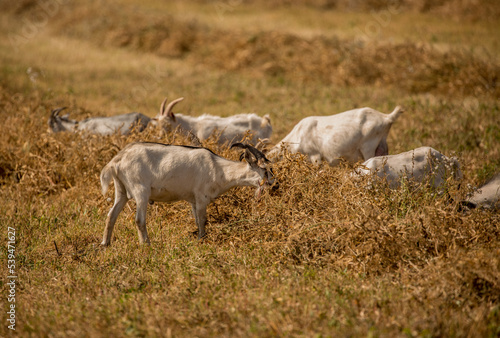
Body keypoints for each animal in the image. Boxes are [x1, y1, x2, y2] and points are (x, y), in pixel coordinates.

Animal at [99, 141, 276, 244]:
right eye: (265, 169)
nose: (275, 184)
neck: (218, 169)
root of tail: (117, 159)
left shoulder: (192, 200)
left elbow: (197, 221)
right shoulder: (201, 197)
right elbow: (203, 221)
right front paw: (202, 241)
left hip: (121, 190)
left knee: (111, 215)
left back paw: (105, 244)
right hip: (141, 190)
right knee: (139, 220)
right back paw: (146, 245)